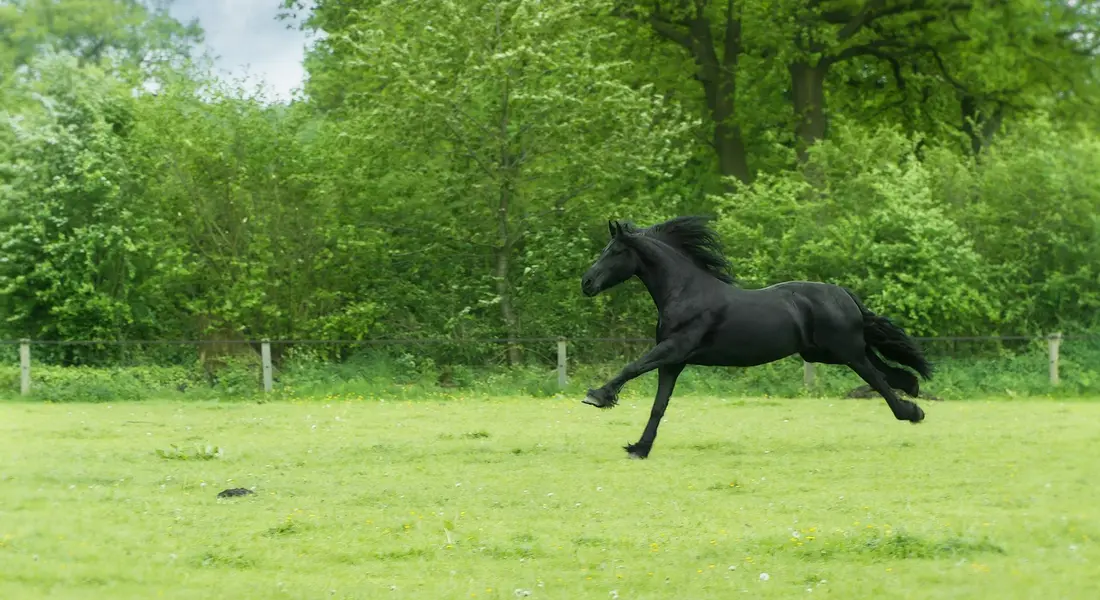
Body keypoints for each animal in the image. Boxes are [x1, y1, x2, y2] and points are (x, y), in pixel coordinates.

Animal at [579, 215, 933, 460]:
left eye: (615, 251)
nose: (586, 283)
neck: (685, 292)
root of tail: (844, 294)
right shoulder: (674, 362)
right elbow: (658, 406)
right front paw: (639, 447)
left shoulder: (674, 349)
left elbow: (632, 367)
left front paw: (597, 396)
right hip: (826, 352)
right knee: (885, 370)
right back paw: (913, 388)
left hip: (844, 351)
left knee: (877, 378)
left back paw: (911, 412)